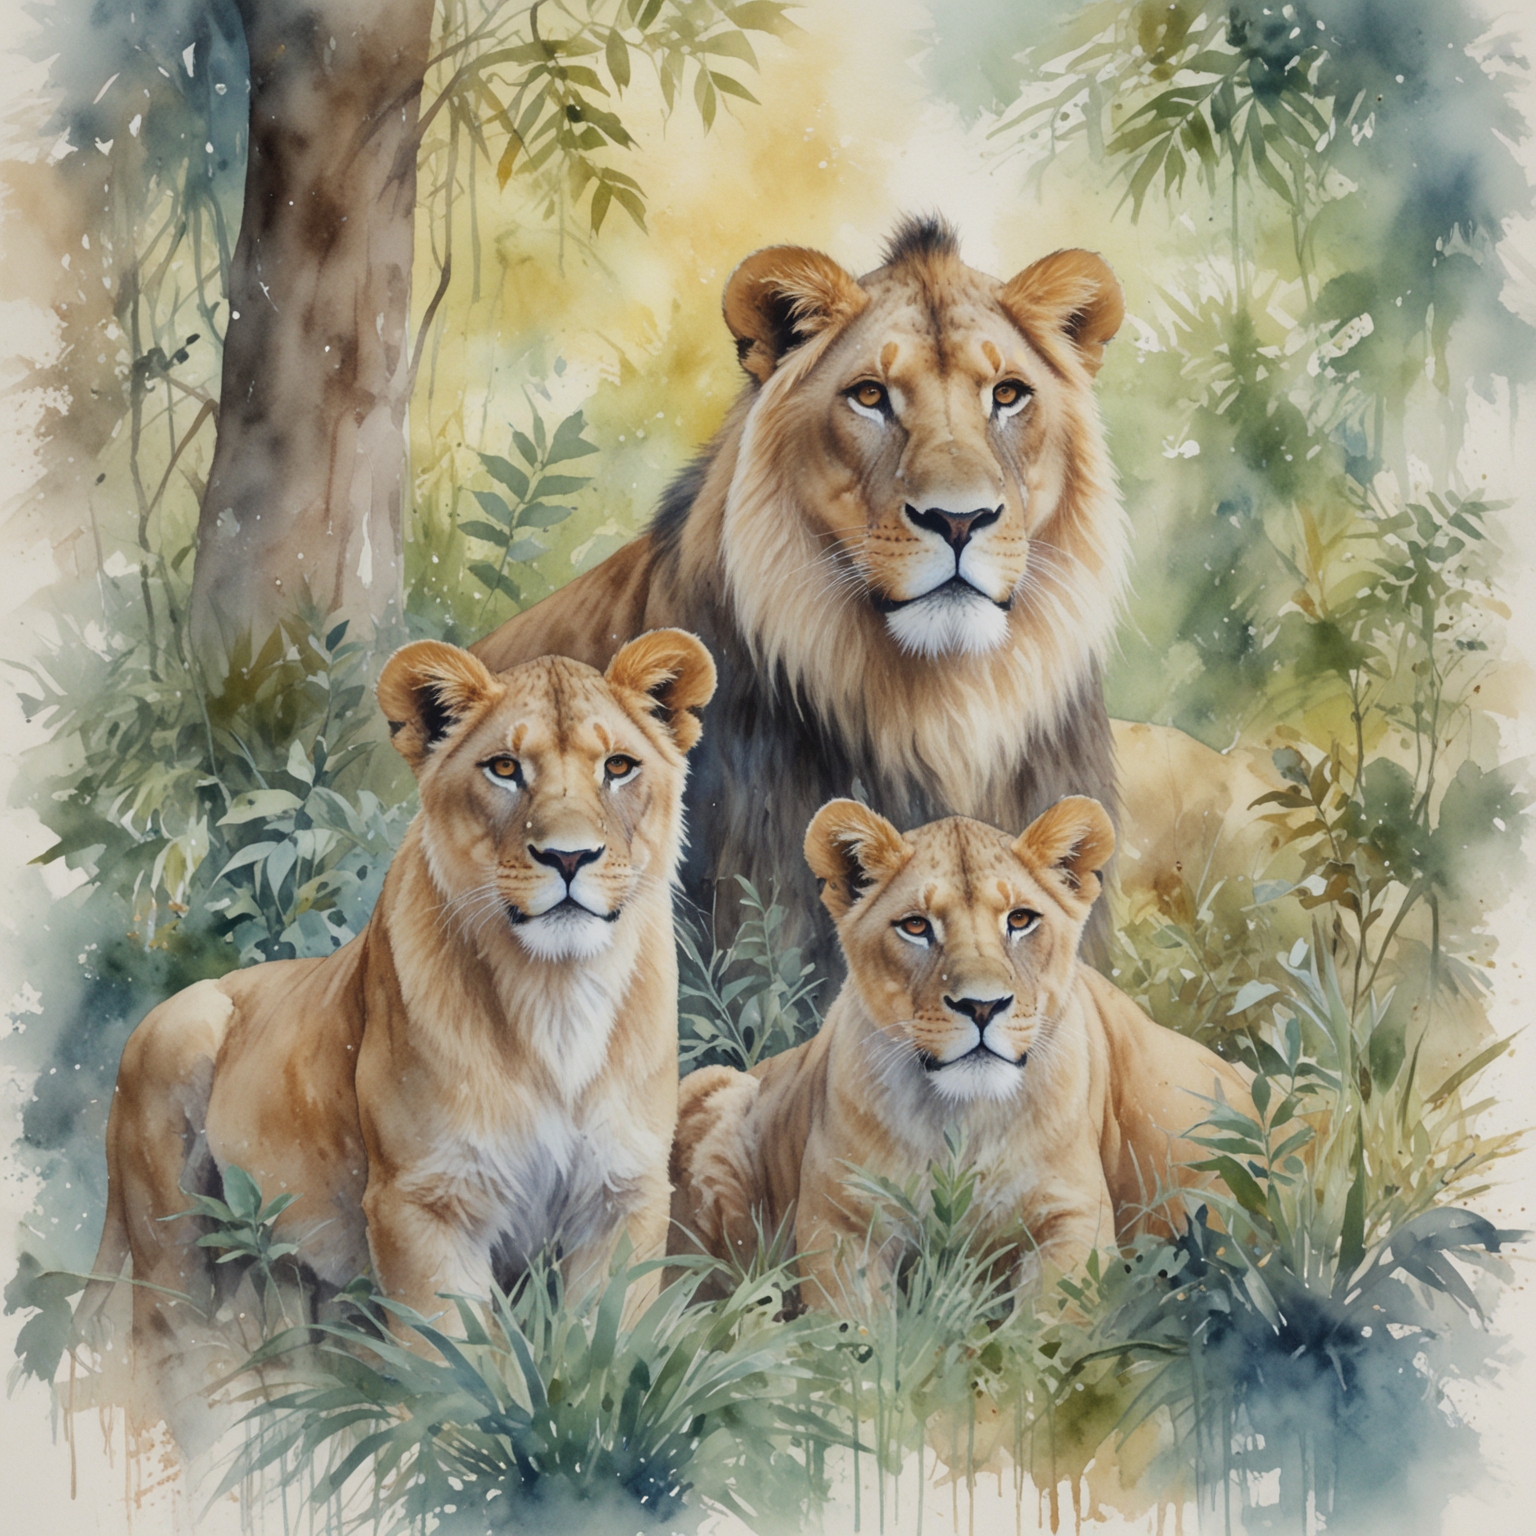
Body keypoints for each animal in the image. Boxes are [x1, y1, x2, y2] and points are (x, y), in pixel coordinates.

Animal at [83, 629, 716, 1419]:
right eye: (504, 768)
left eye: (619, 767)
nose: (568, 857)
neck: (555, 991)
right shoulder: (423, 1202)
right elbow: (452, 1369)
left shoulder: (620, 1194)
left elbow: (602, 1346)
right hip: (171, 1236)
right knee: (165, 1360)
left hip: (280, 1273)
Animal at [667, 796, 1253, 1310]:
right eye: (916, 926)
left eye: (1020, 920)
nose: (981, 1005)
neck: (962, 1122)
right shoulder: (841, 1222)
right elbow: (856, 1334)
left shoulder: (1074, 1217)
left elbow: (1044, 1331)